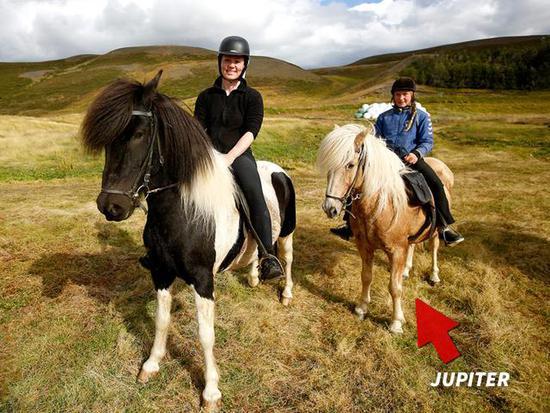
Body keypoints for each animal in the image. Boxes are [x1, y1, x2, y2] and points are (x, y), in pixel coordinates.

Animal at [81, 71, 298, 408]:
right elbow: (161, 320)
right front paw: (151, 365)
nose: (110, 206)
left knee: (286, 260)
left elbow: (206, 334)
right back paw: (254, 276)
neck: (184, 211)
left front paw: (210, 391)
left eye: (139, 133)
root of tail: (276, 169)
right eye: (108, 141)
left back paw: (285, 291)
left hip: (287, 233)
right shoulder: (160, 272)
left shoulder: (203, 279)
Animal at [316, 124, 454, 334]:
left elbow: (394, 288)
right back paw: (406, 270)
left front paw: (396, 322)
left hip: (436, 231)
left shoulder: (396, 250)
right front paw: (361, 308)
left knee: (434, 248)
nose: (330, 208)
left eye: (350, 165)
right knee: (412, 246)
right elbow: (366, 277)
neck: (380, 204)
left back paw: (434, 275)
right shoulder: (364, 247)